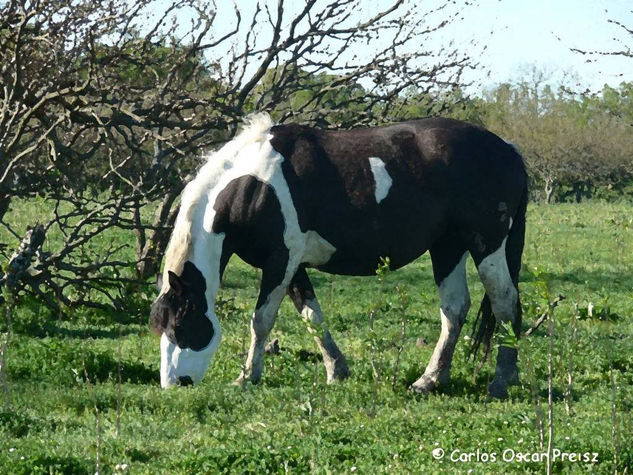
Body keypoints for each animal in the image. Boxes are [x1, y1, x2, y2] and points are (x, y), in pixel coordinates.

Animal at [151, 113, 524, 400]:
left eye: (180, 326)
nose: (174, 385)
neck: (254, 184)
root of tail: (507, 148)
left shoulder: (280, 261)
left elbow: (262, 320)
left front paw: (247, 376)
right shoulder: (293, 267)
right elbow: (311, 316)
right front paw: (337, 370)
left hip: (485, 245)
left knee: (505, 303)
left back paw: (500, 382)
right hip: (448, 247)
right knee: (454, 309)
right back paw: (430, 380)